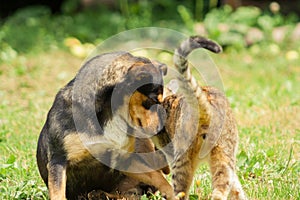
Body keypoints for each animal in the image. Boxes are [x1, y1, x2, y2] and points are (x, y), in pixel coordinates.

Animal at [36, 52, 175, 200]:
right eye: (152, 100)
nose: (161, 129)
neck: (109, 110)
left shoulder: (124, 160)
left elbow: (158, 178)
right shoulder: (58, 160)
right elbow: (58, 194)